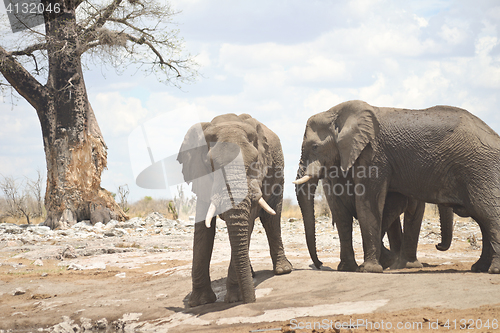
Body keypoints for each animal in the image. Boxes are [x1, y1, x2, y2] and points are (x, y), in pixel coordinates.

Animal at [177, 113, 292, 304]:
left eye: (255, 162)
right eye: (212, 165)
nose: (251, 301)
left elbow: (249, 221)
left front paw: (235, 299)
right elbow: (203, 230)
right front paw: (200, 302)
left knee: (272, 220)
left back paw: (283, 270)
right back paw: (252, 274)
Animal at [294, 100, 498, 272]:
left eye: (314, 147)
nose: (320, 264)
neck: (337, 114)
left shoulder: (374, 154)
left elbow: (368, 204)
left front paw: (370, 269)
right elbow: (347, 211)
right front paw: (353, 269)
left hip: (478, 167)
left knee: (486, 212)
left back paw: (491, 270)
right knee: (483, 217)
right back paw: (479, 268)